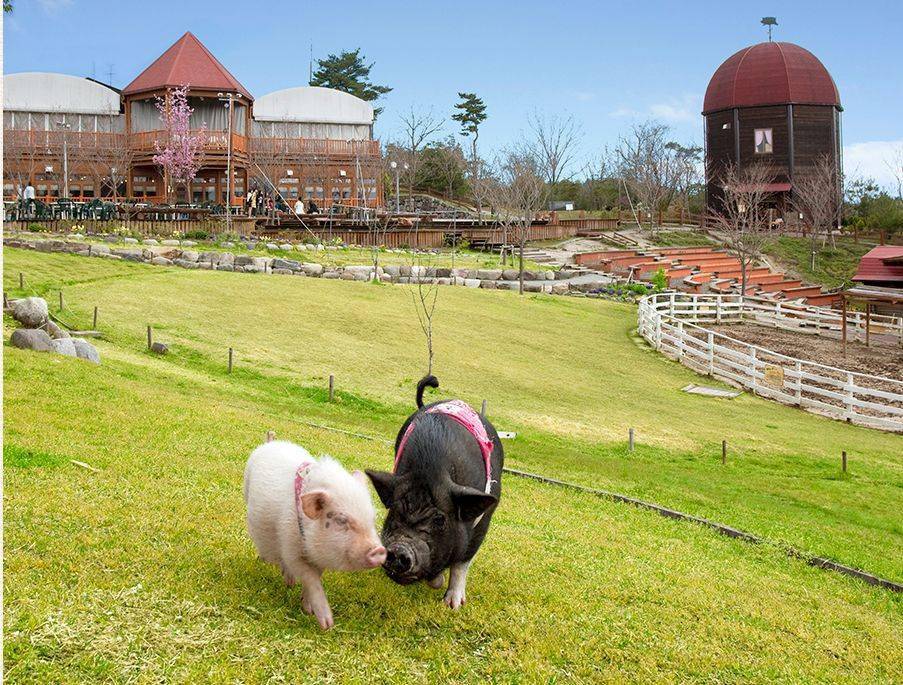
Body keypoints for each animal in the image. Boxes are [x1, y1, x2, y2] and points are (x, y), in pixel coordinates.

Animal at [370, 376, 504, 608]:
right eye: (393, 512)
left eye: (440, 519)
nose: (398, 549)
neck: (429, 469)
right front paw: (437, 581)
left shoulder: (483, 521)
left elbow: (462, 563)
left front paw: (453, 605)